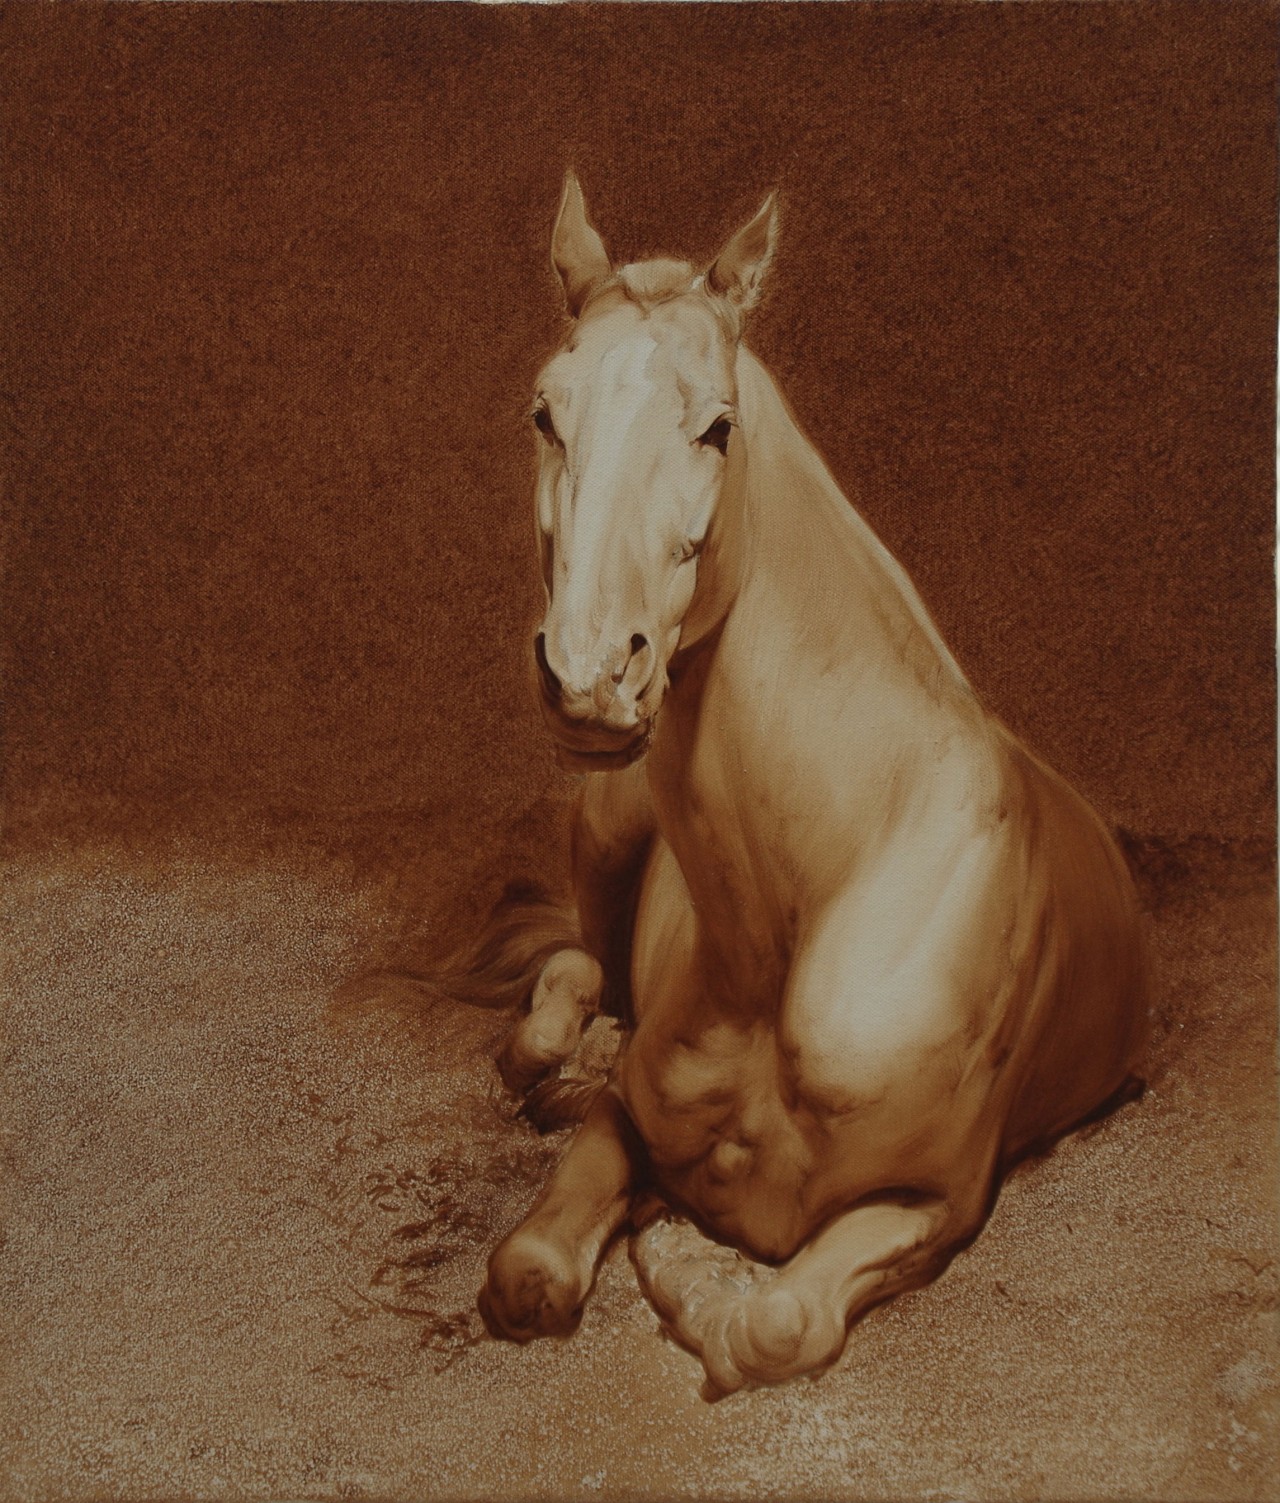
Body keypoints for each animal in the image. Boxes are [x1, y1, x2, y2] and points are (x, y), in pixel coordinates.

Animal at [466, 174, 1151, 1398]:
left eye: (715, 427)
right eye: (545, 413)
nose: (591, 677)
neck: (802, 913)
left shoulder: (936, 1202)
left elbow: (777, 1324)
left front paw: (686, 1261)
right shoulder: (630, 1125)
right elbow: (532, 1264)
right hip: (605, 827)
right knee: (574, 970)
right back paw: (560, 1059)